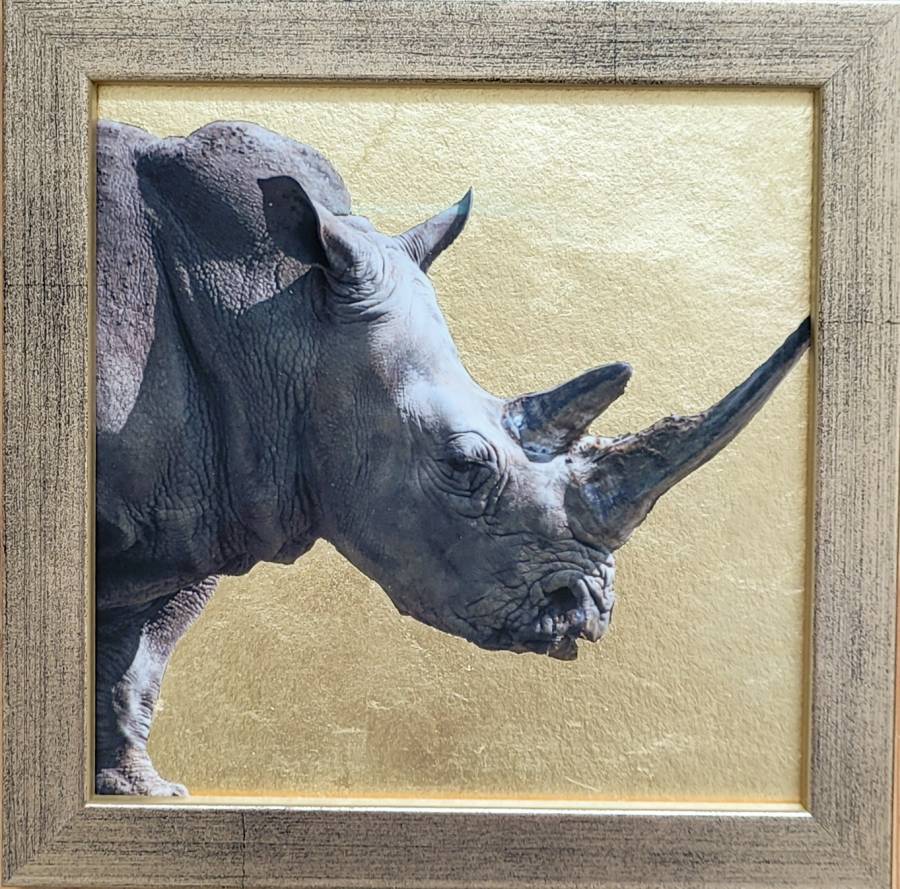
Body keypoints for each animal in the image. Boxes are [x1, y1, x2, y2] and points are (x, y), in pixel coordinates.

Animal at [95, 119, 810, 796]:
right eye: (466, 465)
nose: (584, 615)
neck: (272, 314)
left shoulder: (220, 497)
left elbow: (140, 656)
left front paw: (140, 791)